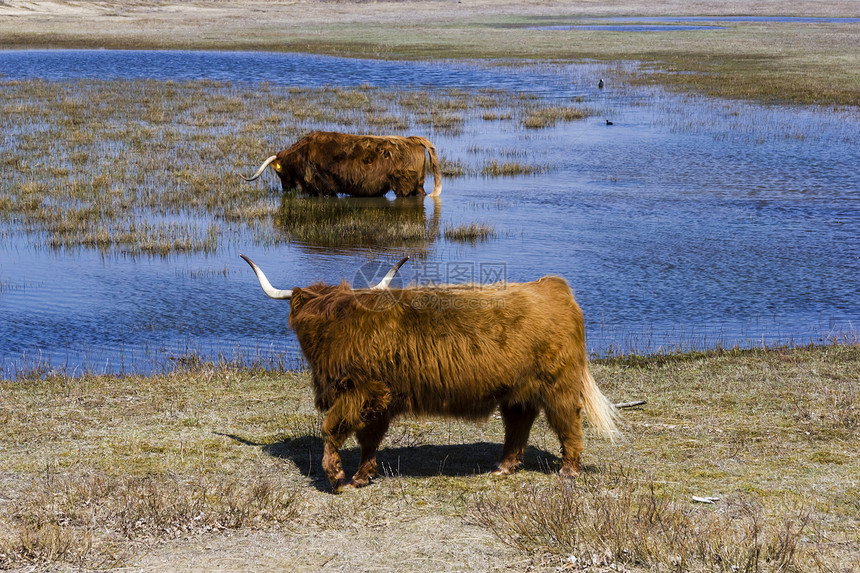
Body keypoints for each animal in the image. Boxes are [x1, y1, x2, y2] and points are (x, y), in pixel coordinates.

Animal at [240, 255, 620, 492]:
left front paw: (335, 476)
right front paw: (362, 476)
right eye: (314, 319)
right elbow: (368, 439)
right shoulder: (379, 399)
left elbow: (332, 428)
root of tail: (553, 287)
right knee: (518, 425)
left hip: (559, 384)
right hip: (517, 391)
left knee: (568, 422)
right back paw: (503, 467)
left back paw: (568, 470)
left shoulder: (359, 391)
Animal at [244, 131, 440, 198]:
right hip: (417, 185)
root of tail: (412, 140)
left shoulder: (323, 188)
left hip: (403, 187)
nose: (285, 188)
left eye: (280, 173)